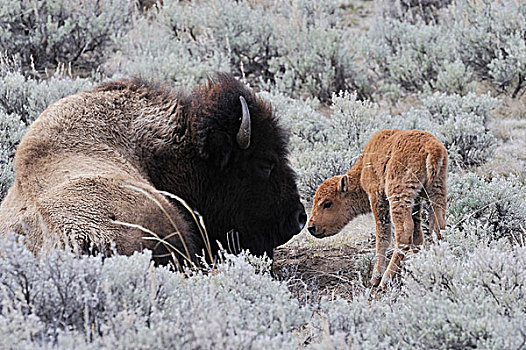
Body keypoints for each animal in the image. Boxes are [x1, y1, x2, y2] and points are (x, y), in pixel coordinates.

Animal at [310, 129, 450, 288]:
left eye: (327, 203)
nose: (311, 227)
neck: (363, 168)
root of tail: (432, 147)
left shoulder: (377, 197)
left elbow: (382, 235)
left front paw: (375, 276)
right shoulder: (416, 201)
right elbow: (417, 235)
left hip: (398, 195)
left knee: (404, 233)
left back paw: (385, 279)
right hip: (436, 191)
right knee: (438, 228)